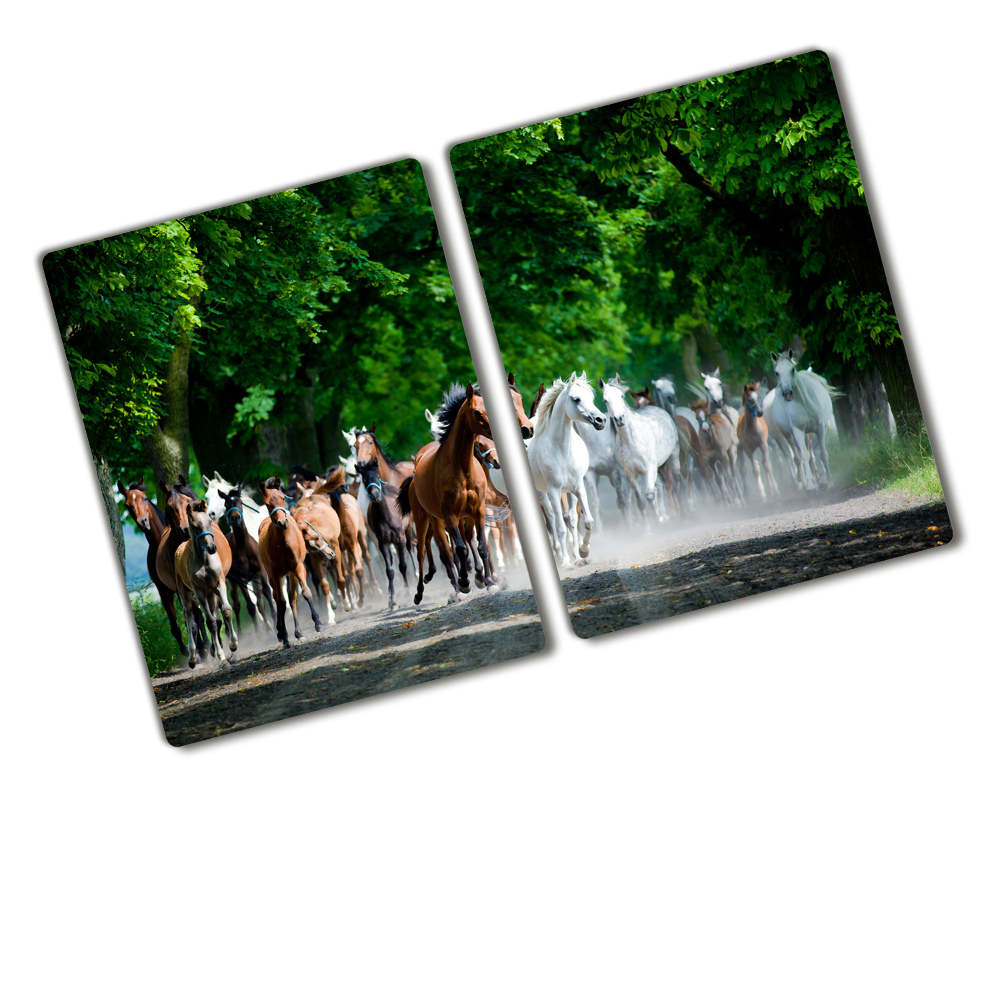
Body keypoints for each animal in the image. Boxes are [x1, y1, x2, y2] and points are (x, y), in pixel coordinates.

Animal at [256, 476, 322, 648]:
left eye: (282, 498)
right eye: (267, 503)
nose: (282, 522)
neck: (283, 544)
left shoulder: (298, 568)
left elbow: (305, 593)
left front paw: (318, 623)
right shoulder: (275, 575)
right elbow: (280, 602)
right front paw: (284, 636)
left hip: (291, 574)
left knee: (292, 599)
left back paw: (299, 633)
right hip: (274, 577)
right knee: (278, 598)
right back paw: (281, 632)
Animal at [528, 374, 604, 568]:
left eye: (591, 398)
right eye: (576, 399)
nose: (601, 420)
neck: (561, 449)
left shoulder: (578, 487)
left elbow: (587, 521)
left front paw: (583, 552)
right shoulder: (554, 490)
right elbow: (561, 527)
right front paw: (565, 562)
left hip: (567, 492)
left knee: (571, 519)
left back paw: (577, 556)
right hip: (542, 493)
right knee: (553, 520)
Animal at [600, 372, 680, 520]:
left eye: (622, 396)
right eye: (605, 400)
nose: (619, 419)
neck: (630, 441)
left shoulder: (650, 469)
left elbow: (650, 496)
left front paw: (658, 520)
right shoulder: (631, 475)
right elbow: (641, 502)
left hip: (673, 457)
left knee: (676, 485)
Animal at [768, 350, 840, 490]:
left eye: (792, 369)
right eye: (777, 372)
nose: (787, 394)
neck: (804, 402)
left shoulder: (820, 427)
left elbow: (823, 454)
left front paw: (830, 482)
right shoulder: (798, 430)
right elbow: (805, 455)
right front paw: (811, 486)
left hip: (819, 429)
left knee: (817, 450)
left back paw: (823, 479)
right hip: (794, 435)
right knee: (805, 453)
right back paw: (814, 480)